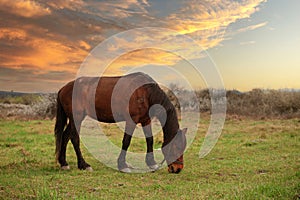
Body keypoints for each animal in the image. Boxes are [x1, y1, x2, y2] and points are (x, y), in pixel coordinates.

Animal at [54, 72, 186, 173]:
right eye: (177, 146)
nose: (177, 169)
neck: (146, 92)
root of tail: (63, 88)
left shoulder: (146, 120)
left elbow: (150, 140)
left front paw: (151, 163)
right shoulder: (131, 121)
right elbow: (126, 141)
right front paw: (122, 165)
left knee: (65, 136)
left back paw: (64, 163)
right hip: (76, 117)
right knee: (74, 138)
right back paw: (84, 165)